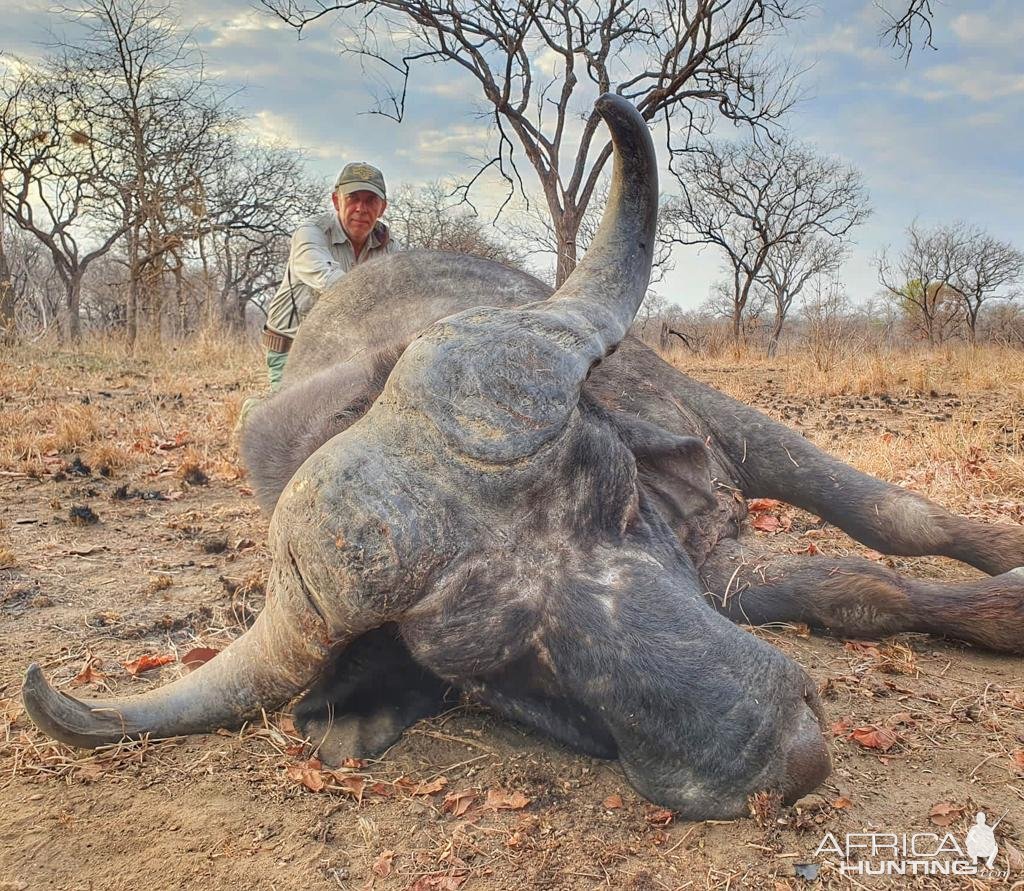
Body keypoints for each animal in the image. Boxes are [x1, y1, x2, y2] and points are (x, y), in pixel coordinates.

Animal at [19, 94, 1019, 819]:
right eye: (496, 670)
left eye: (623, 501)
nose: (792, 750)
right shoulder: (721, 574)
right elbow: (844, 585)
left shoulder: (720, 432)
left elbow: (890, 519)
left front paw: (1005, 570)